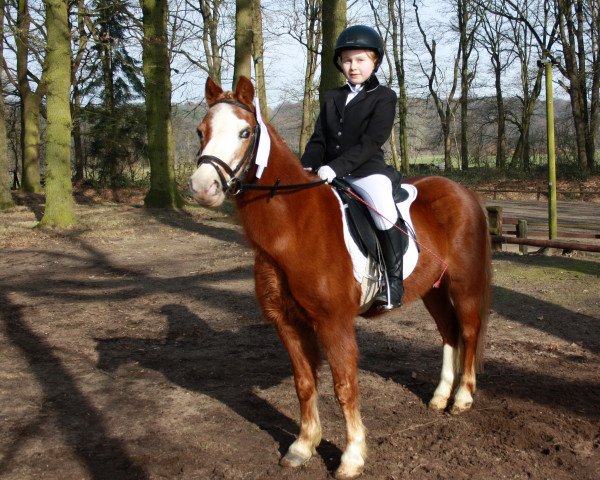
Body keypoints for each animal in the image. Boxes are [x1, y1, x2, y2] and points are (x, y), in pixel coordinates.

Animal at [190, 77, 490, 478]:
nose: (202, 186)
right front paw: (303, 446)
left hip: (464, 284)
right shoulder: (287, 322)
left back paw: (462, 398)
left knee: (469, 332)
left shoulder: (334, 323)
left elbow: (344, 386)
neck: (295, 227)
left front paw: (351, 456)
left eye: (245, 132)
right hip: (434, 289)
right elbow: (304, 383)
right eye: (200, 131)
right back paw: (440, 396)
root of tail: (462, 192)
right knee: (449, 332)